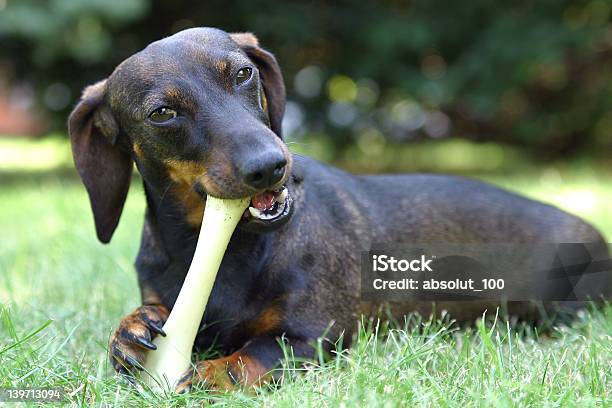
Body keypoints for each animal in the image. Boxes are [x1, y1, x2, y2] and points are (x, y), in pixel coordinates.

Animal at [68, 27, 608, 392]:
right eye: (163, 113)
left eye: (243, 73)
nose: (270, 167)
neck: (232, 247)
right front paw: (130, 330)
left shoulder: (315, 336)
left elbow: (255, 354)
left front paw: (213, 373)